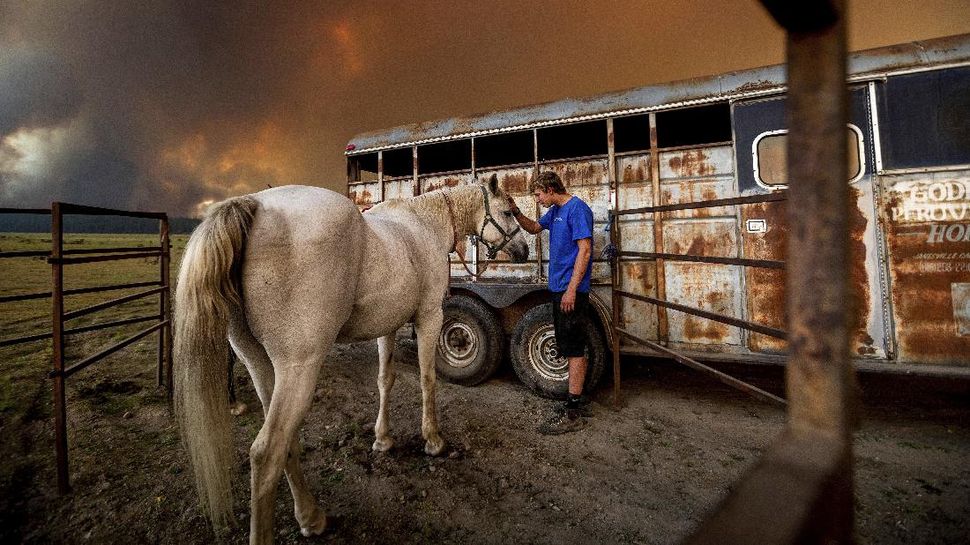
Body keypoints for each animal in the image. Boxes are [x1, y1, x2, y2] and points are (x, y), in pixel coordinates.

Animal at [170, 176, 524, 540]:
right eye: (509, 212)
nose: (524, 251)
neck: (424, 225)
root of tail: (252, 204)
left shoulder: (388, 326)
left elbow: (385, 379)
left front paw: (382, 439)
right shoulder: (429, 317)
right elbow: (428, 379)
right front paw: (433, 440)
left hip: (260, 366)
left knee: (287, 443)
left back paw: (311, 516)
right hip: (299, 368)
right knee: (267, 453)